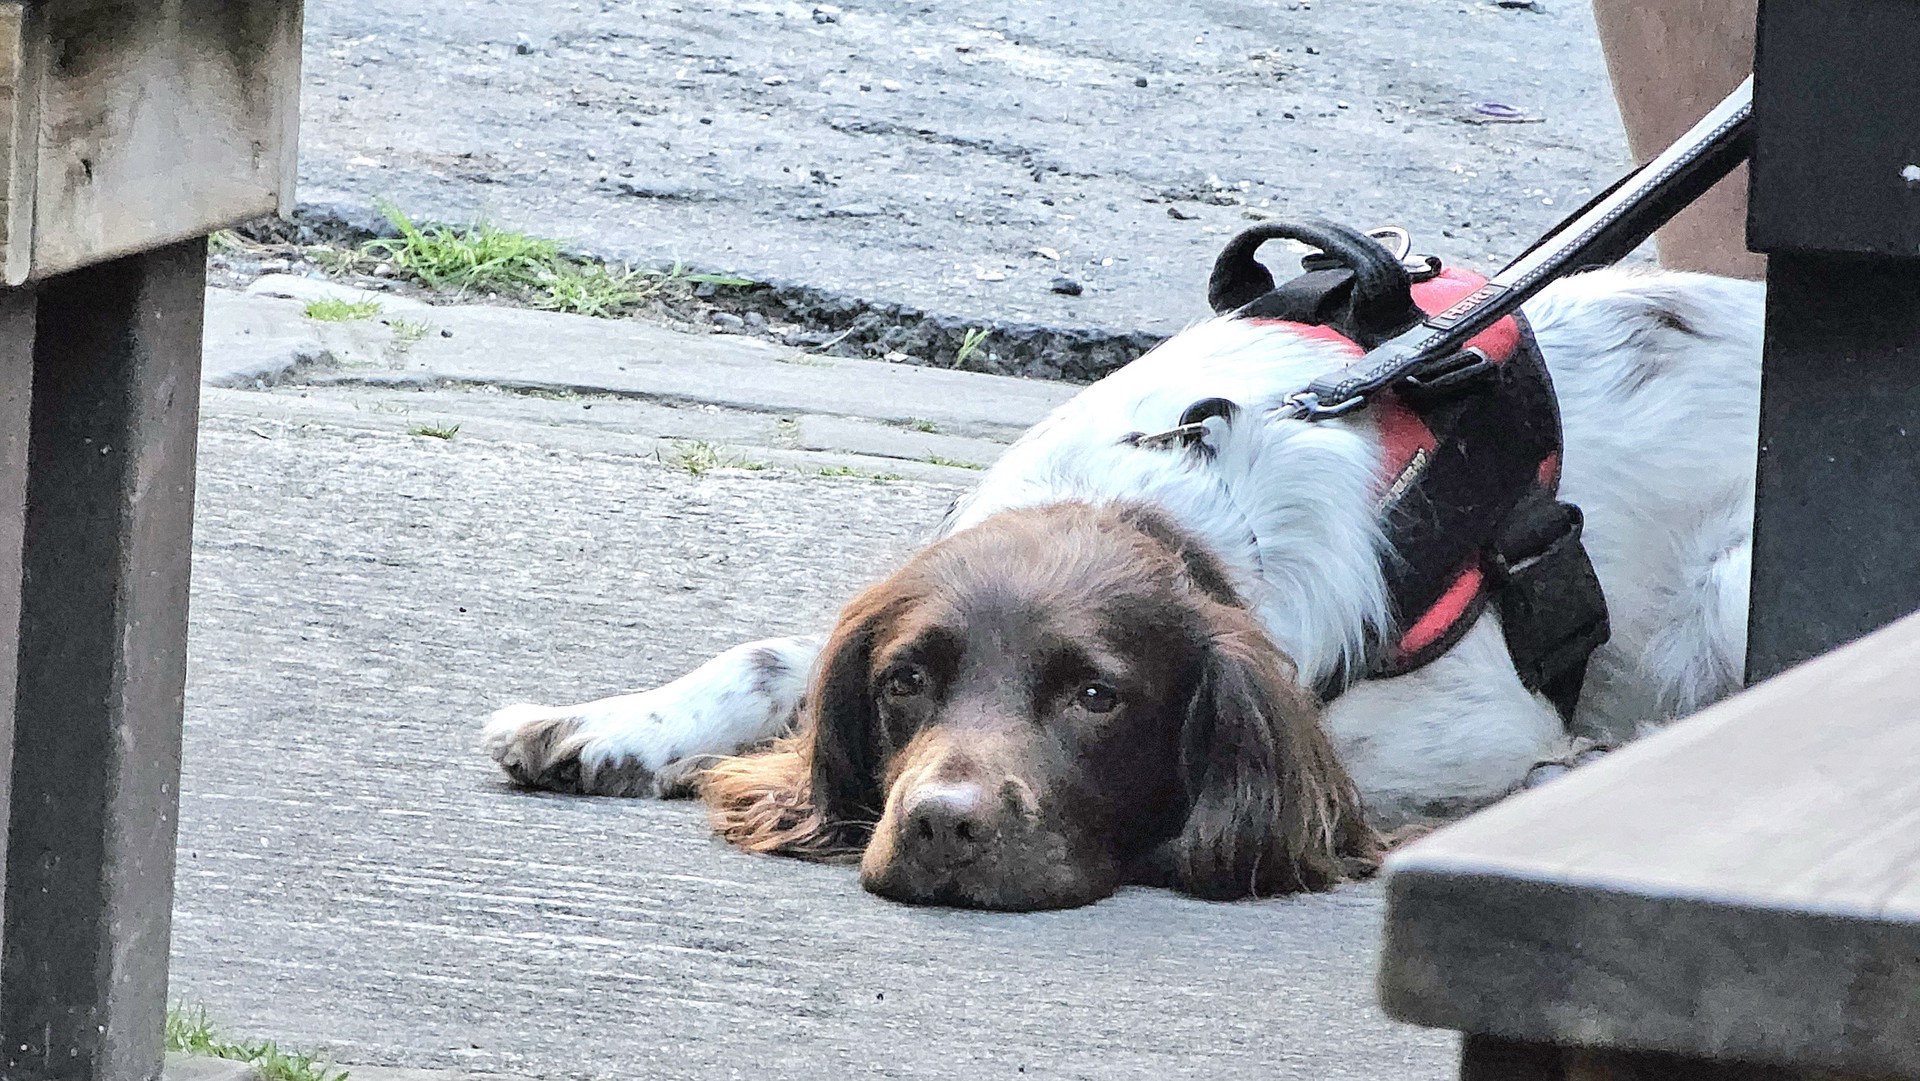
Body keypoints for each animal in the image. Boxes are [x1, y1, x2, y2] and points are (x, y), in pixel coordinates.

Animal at [482, 265, 1764, 910]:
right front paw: (612, 726)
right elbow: (772, 658)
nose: (940, 825)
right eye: (905, 685)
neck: (1157, 498)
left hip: (1735, 583)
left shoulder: (1474, 713)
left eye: (1099, 699)